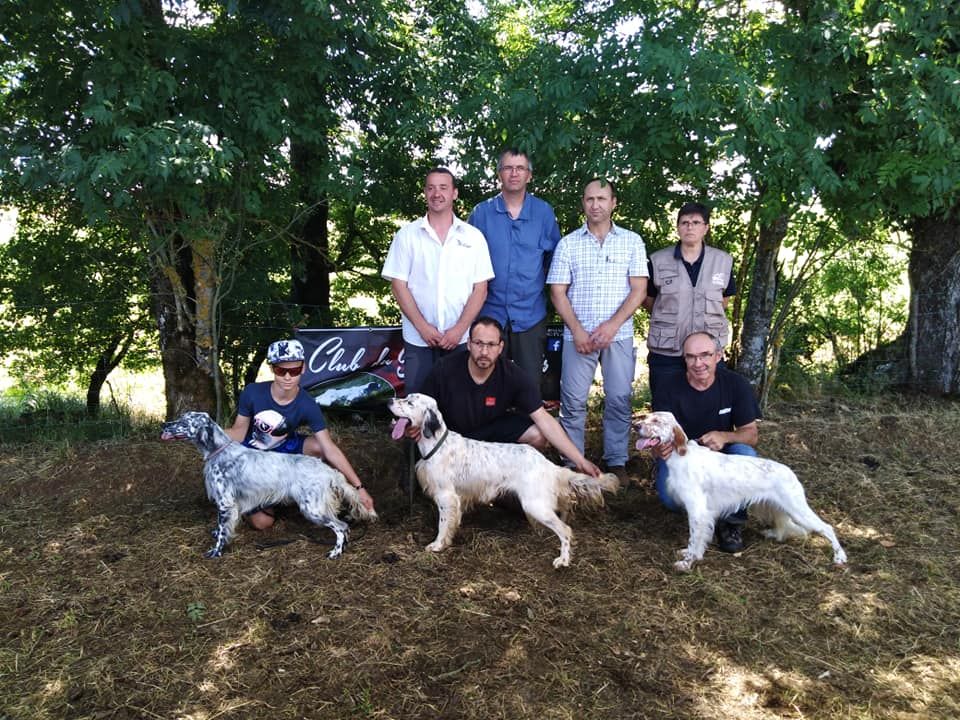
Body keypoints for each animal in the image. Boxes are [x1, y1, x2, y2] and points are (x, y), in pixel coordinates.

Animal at [161, 410, 376, 556]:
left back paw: (336, 552)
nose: (163, 425)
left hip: (312, 509)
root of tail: (327, 469)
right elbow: (222, 527)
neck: (218, 450)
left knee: (341, 527)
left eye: (184, 421)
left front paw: (216, 551)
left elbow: (223, 530)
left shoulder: (225, 502)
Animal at [386, 394, 620, 568]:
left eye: (409, 402)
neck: (437, 444)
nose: (388, 400)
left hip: (534, 505)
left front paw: (437, 545)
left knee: (565, 531)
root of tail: (545, 463)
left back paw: (563, 560)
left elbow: (443, 524)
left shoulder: (446, 496)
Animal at [636, 410, 848, 572]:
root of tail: (790, 473)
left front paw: (687, 562)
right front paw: (689, 554)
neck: (682, 456)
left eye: (656, 421)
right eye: (646, 417)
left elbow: (694, 539)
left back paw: (839, 557)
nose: (636, 426)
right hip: (774, 506)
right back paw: (772, 534)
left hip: (798, 509)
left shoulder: (697, 511)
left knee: (827, 528)